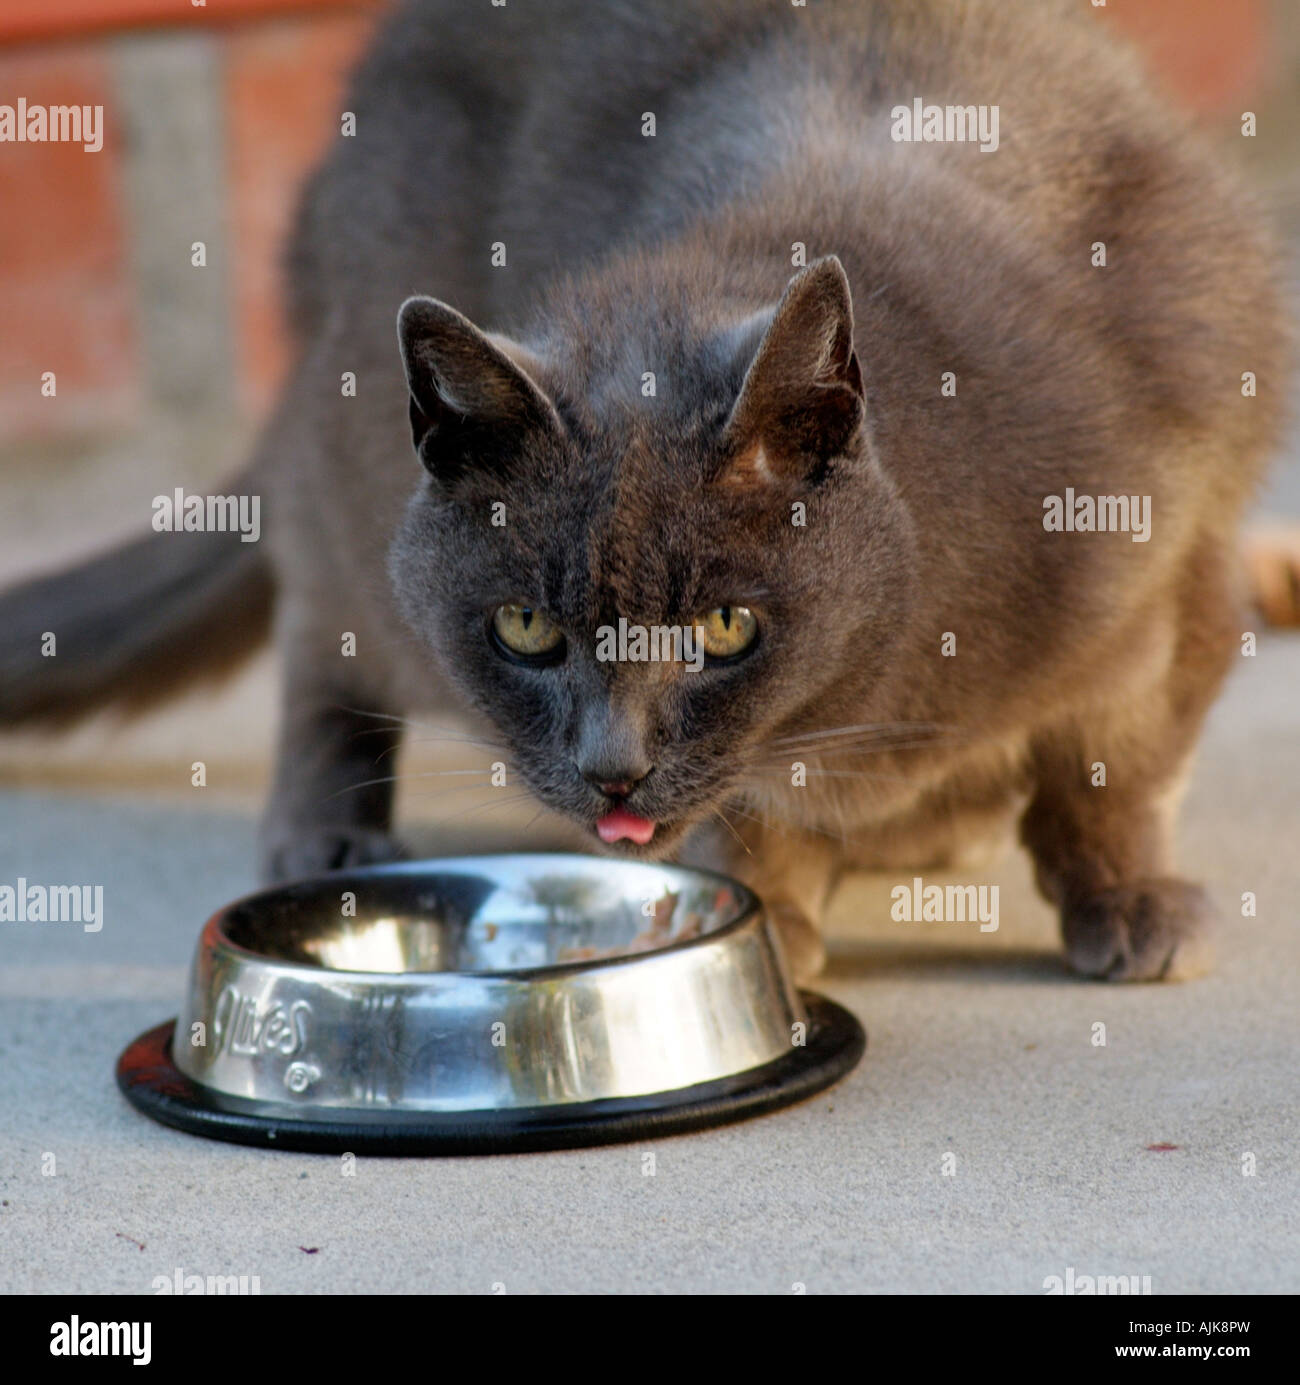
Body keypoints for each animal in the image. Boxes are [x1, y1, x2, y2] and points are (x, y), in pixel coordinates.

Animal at [0, 0, 1284, 986]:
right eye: (526, 627)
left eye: (726, 625)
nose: (611, 767)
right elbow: (760, 811)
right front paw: (776, 919)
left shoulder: (1173, 574)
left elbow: (1112, 768)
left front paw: (1130, 903)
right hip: (349, 471)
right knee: (322, 631)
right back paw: (329, 834)